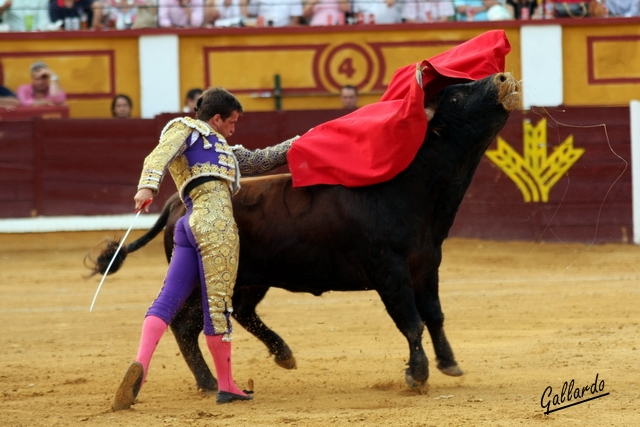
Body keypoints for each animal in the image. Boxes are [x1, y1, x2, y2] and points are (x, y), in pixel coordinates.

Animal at [90, 72, 520, 394]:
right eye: (457, 95)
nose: (503, 77)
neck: (408, 185)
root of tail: (179, 203)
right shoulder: (390, 270)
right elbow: (411, 320)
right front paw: (417, 375)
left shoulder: (426, 265)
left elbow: (434, 315)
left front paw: (449, 363)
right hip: (205, 278)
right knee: (186, 324)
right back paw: (210, 382)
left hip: (249, 278)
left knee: (239, 312)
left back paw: (281, 355)